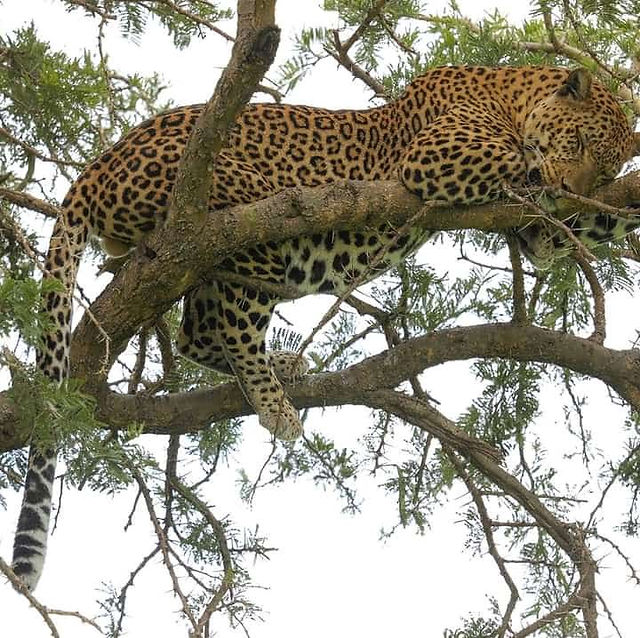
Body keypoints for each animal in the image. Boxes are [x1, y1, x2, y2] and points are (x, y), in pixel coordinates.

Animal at [12, 65, 640, 590]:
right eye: (580, 143)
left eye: (607, 170)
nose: (573, 186)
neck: (512, 93)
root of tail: (99, 165)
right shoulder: (439, 154)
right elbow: (521, 169)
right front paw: (544, 178)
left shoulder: (536, 233)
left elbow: (559, 233)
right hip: (250, 218)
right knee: (227, 319)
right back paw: (273, 400)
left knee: (195, 330)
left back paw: (279, 364)